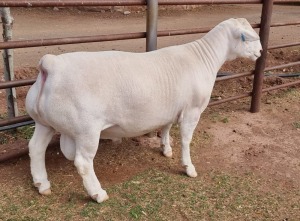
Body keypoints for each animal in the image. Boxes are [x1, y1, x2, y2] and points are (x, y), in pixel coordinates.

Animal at [25, 18, 262, 203]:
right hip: (86, 129)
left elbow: (166, 127)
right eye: (245, 37)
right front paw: (188, 167)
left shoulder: (170, 107)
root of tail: (51, 65)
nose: (260, 52)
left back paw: (42, 184)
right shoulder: (192, 110)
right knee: (83, 162)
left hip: (43, 122)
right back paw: (97, 194)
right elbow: (186, 140)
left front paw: (166, 149)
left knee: (36, 148)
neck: (203, 57)